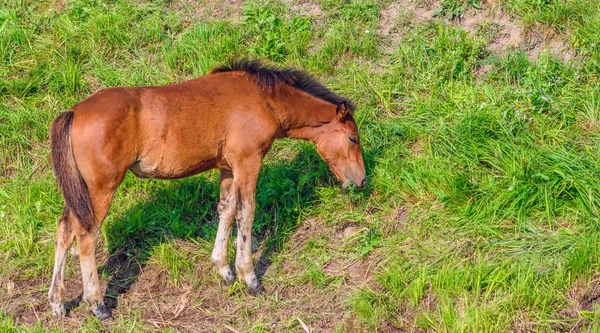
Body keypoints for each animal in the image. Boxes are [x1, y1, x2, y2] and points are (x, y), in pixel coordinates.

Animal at [48, 58, 366, 318]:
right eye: (352, 138)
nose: (361, 180)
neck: (263, 98)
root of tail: (74, 111)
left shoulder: (227, 168)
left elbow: (226, 209)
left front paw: (224, 269)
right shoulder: (248, 162)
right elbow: (246, 212)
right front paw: (249, 277)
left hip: (80, 193)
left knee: (65, 228)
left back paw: (57, 302)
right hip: (101, 188)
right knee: (86, 236)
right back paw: (97, 304)